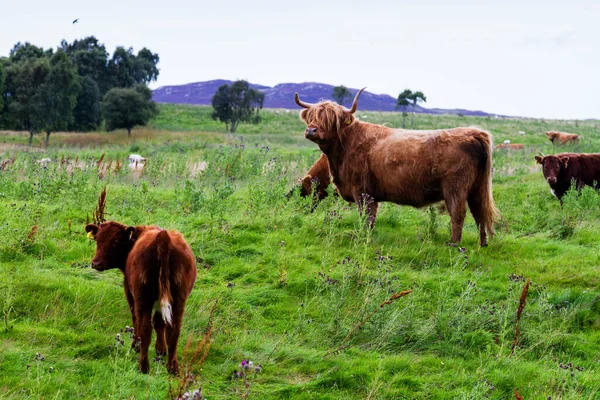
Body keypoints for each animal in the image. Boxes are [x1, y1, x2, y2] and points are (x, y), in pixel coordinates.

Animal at [84, 222, 196, 376]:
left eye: (116, 242)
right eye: (98, 240)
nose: (96, 263)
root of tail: (163, 237)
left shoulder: (130, 293)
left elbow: (136, 319)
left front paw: (136, 345)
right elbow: (160, 323)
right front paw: (161, 349)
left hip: (142, 298)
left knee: (144, 328)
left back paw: (143, 366)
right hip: (178, 300)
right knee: (173, 331)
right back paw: (172, 368)